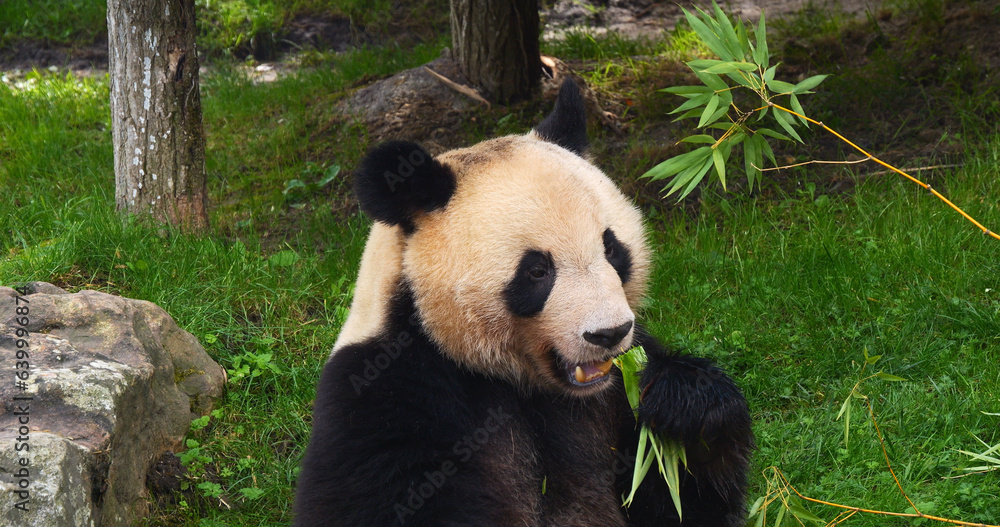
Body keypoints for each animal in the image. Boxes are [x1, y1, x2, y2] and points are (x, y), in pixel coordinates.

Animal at [294, 79, 754, 526]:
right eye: (536, 271)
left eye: (611, 249)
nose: (609, 334)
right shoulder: (387, 398)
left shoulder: (617, 399)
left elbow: (677, 501)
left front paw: (686, 402)